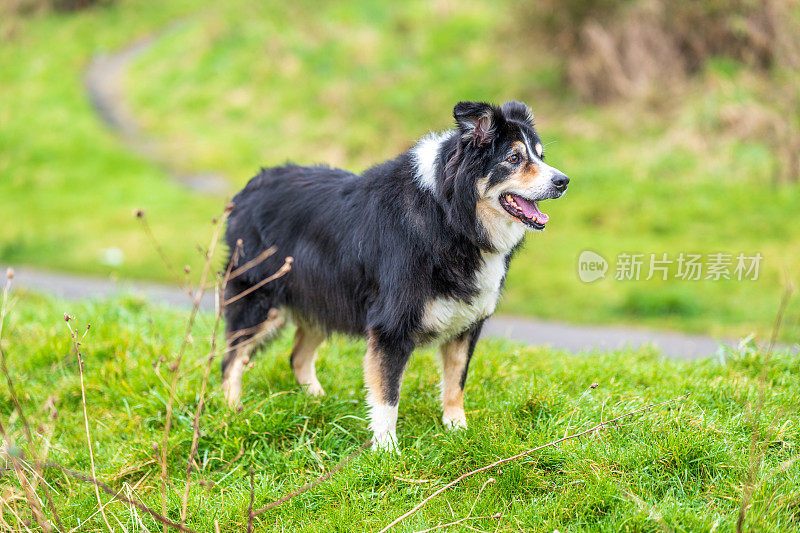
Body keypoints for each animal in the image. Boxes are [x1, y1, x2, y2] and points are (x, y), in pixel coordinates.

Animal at [220, 101, 568, 448]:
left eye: (540, 156)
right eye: (514, 158)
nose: (563, 181)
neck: (450, 216)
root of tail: (247, 190)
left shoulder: (467, 323)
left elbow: (455, 381)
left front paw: (457, 430)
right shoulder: (391, 327)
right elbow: (387, 395)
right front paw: (386, 450)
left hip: (323, 297)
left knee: (297, 356)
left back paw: (317, 403)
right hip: (260, 301)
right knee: (231, 359)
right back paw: (232, 413)